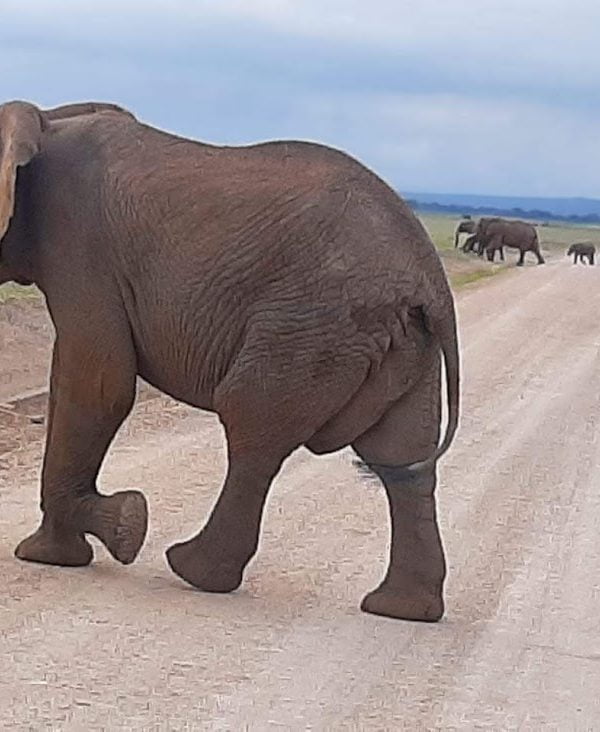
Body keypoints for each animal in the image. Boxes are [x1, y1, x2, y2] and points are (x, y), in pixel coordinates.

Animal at [0, 99, 460, 622]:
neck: (46, 120)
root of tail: (431, 281)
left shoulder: (80, 251)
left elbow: (99, 384)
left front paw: (100, 537)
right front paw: (75, 544)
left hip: (309, 325)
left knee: (253, 428)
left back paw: (193, 571)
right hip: (401, 343)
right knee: (401, 460)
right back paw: (402, 610)